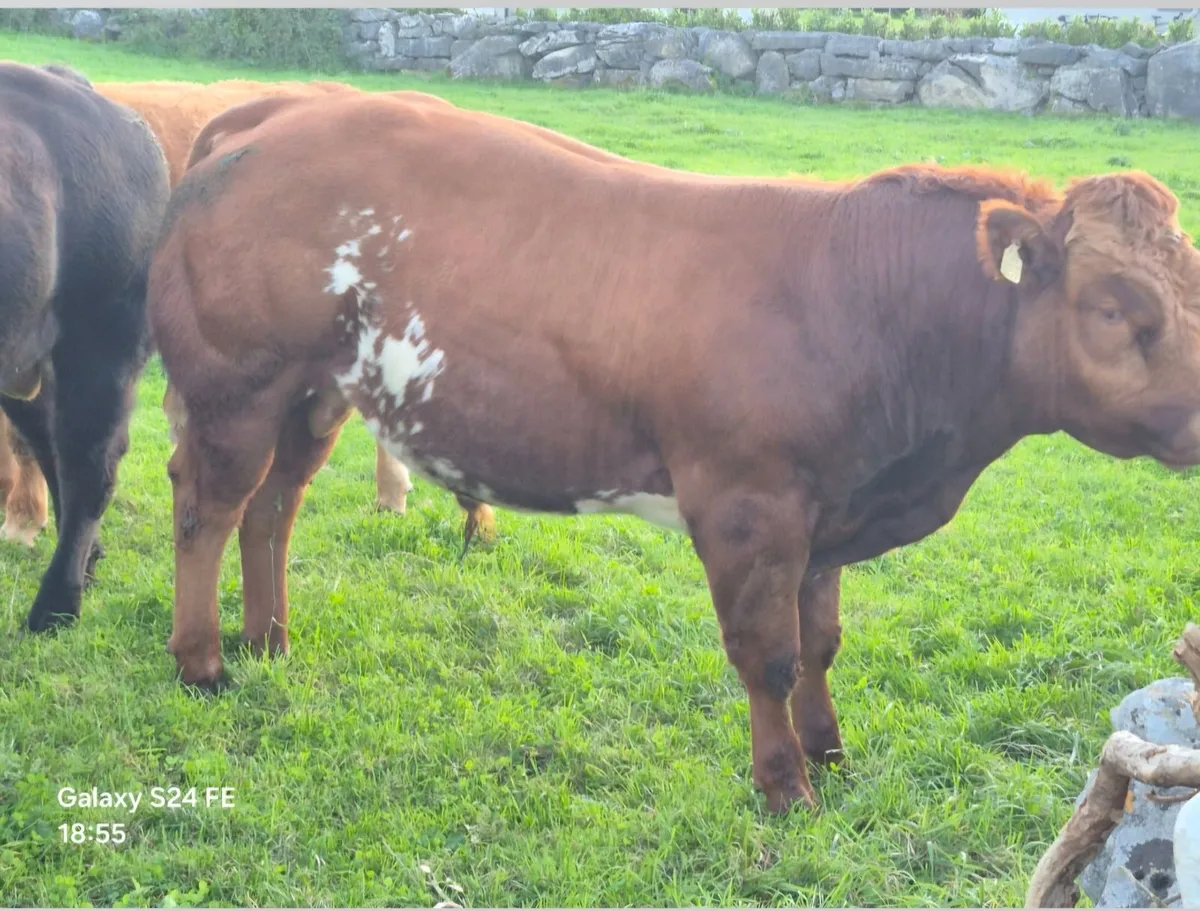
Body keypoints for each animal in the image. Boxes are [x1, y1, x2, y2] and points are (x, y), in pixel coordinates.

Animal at [149, 90, 1200, 815]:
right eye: (1115, 307)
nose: (1196, 410)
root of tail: (276, 110)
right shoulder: (748, 506)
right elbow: (768, 655)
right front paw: (785, 788)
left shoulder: (826, 515)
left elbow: (822, 643)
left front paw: (832, 754)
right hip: (236, 387)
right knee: (208, 506)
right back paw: (203, 661)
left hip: (316, 391)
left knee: (273, 506)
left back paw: (270, 639)